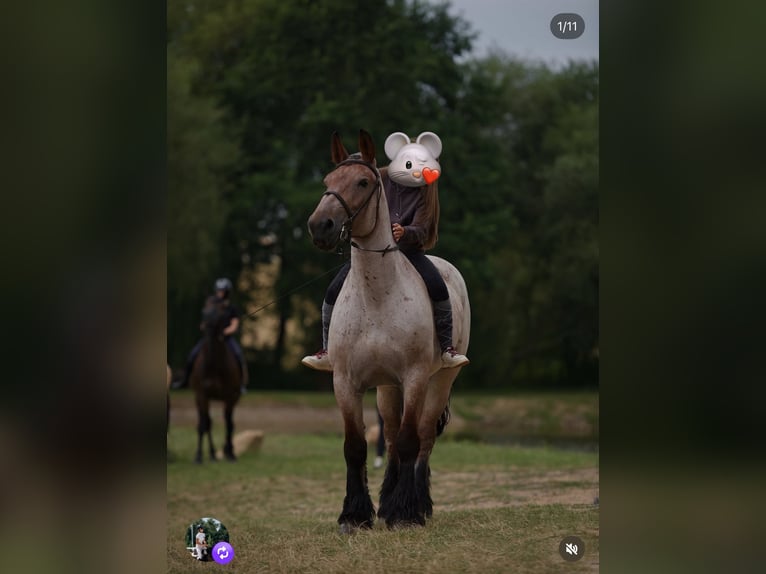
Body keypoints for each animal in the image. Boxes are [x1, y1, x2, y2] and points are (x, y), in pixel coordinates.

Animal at [189, 295, 242, 463]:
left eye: (220, 314)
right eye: (203, 312)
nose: (207, 329)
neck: (213, 365)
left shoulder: (230, 396)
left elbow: (229, 423)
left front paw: (230, 453)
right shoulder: (201, 394)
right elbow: (203, 425)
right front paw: (198, 456)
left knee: (227, 422)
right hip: (199, 399)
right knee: (207, 422)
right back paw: (211, 454)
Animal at [307, 129, 471, 531]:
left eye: (362, 183)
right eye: (328, 181)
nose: (320, 226)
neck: (377, 297)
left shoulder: (414, 378)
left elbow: (412, 441)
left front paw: (404, 512)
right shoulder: (346, 382)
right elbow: (355, 446)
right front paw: (355, 515)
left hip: (440, 382)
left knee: (422, 439)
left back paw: (417, 505)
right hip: (386, 389)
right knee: (394, 437)